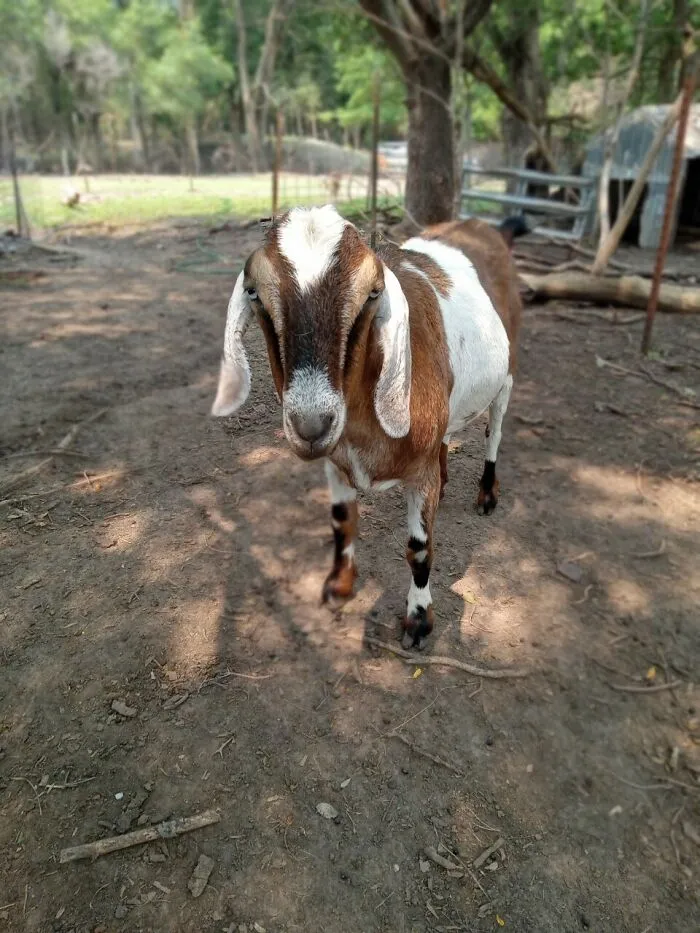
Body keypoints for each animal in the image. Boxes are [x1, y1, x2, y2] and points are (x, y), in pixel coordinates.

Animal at [210, 205, 525, 649]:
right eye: (253, 291)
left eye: (374, 292)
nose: (312, 425)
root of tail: (488, 228)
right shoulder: (336, 463)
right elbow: (343, 523)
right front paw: (338, 588)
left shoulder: (417, 474)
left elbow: (419, 548)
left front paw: (418, 620)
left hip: (507, 374)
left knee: (494, 433)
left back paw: (487, 494)